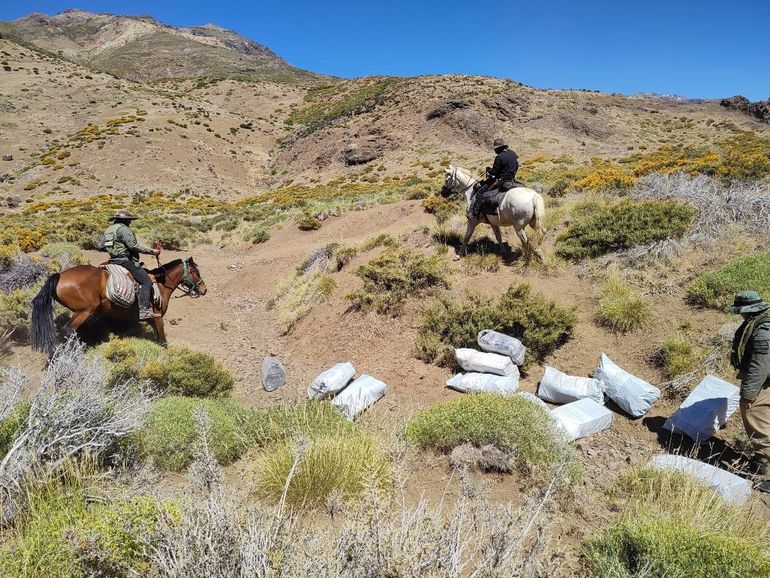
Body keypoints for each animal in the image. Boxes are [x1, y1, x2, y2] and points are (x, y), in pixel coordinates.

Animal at [30, 258, 207, 356]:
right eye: (195, 271)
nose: (203, 289)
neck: (160, 284)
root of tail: (59, 275)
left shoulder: (151, 320)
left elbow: (157, 339)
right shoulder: (157, 318)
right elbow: (163, 341)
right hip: (84, 311)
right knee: (68, 329)